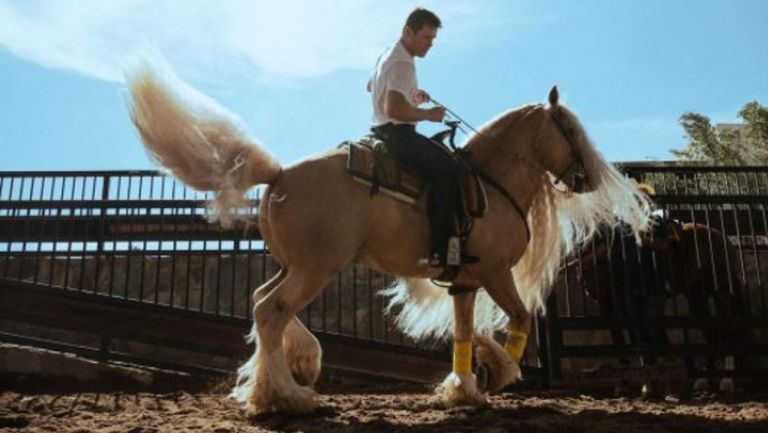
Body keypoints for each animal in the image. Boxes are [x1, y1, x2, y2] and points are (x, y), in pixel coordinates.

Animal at [124, 59, 648, 414]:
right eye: (569, 128)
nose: (587, 179)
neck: (492, 181)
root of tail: (278, 175)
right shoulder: (496, 273)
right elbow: (520, 317)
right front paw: (501, 374)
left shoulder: (464, 281)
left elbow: (464, 330)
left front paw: (464, 387)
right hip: (316, 269)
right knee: (271, 311)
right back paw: (286, 396)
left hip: (296, 265)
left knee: (259, 301)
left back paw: (297, 369)